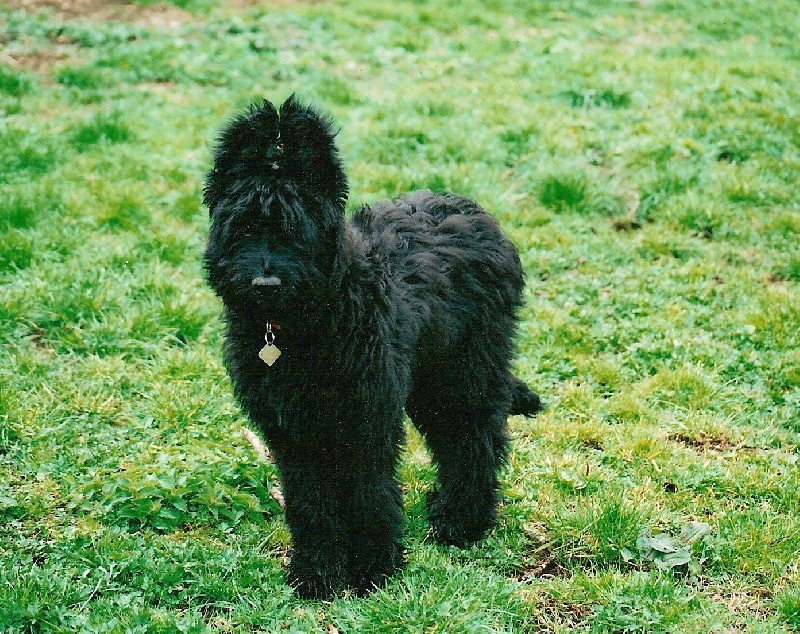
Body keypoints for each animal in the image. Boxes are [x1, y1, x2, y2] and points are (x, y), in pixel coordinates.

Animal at [206, 96, 544, 596]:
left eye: (294, 230)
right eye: (245, 228)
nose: (265, 285)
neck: (311, 323)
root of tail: (477, 213)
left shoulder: (368, 417)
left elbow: (370, 494)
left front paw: (374, 571)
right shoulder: (293, 432)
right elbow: (310, 503)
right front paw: (317, 574)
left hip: (462, 374)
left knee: (475, 441)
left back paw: (462, 523)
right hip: (429, 384)